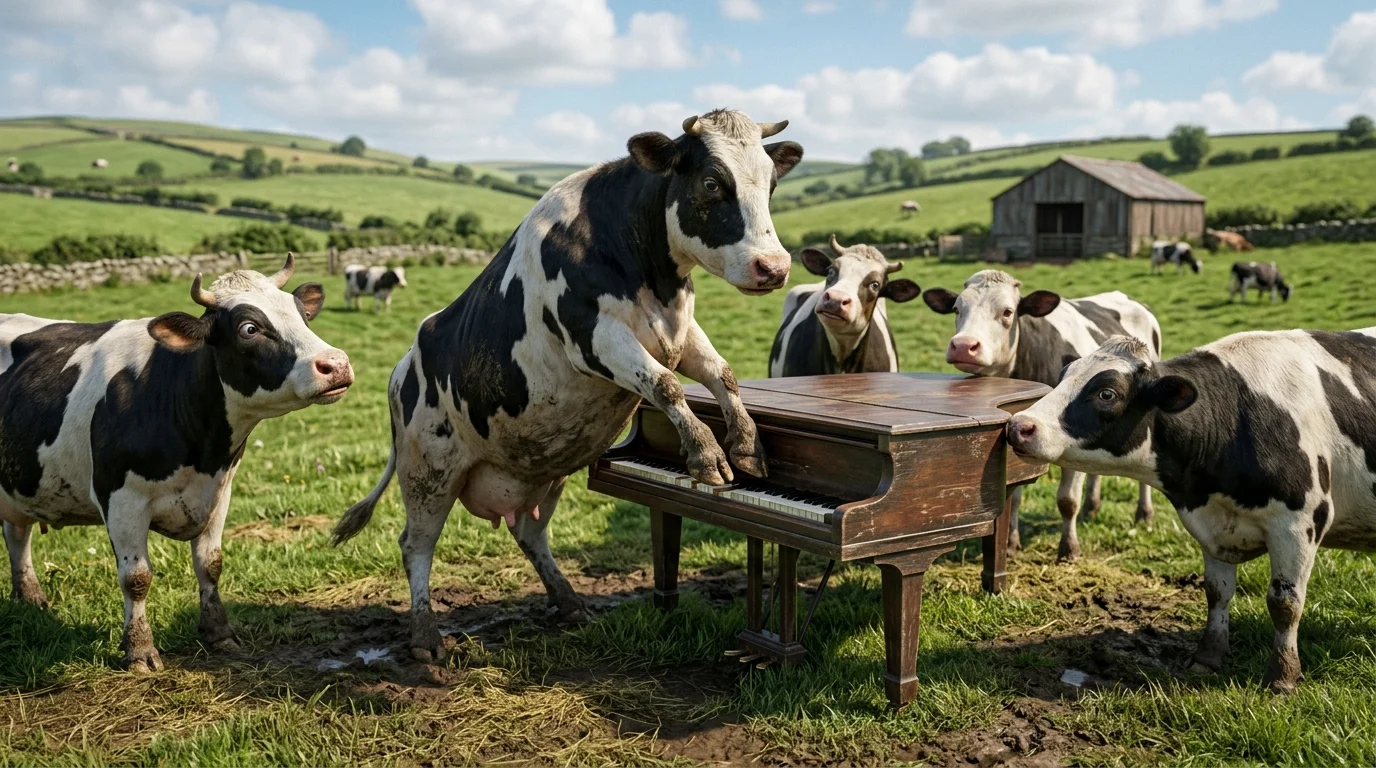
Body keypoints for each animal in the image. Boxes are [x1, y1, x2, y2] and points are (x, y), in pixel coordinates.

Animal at [0, 254, 353, 672]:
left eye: (302, 314)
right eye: (249, 328)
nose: (336, 363)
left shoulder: (219, 491)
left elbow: (210, 564)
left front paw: (219, 633)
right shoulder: (120, 497)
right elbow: (136, 577)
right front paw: (140, 651)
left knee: (17, 534)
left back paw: (31, 599)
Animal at [332, 109, 804, 662]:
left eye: (771, 182)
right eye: (711, 182)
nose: (773, 267)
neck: (646, 269)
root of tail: (401, 367)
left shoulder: (679, 331)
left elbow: (721, 373)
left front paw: (747, 443)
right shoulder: (594, 337)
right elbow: (664, 384)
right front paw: (706, 454)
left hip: (543, 469)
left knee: (530, 532)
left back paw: (569, 601)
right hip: (428, 469)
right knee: (415, 545)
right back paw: (426, 634)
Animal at [921, 270, 1161, 561]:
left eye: (1008, 312)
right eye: (957, 308)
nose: (963, 345)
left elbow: (1067, 500)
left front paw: (1069, 549)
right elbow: (1013, 497)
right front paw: (1011, 543)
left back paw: (1144, 514)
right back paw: (1092, 507)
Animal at [1007, 329, 1376, 693]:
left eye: (1106, 393)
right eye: (1062, 378)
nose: (1018, 425)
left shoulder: (1298, 523)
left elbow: (1285, 603)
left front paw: (1282, 677)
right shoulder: (1211, 525)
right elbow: (1217, 592)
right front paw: (1207, 656)